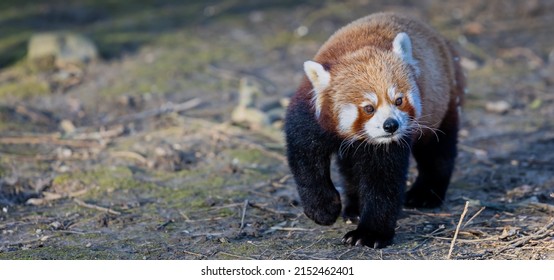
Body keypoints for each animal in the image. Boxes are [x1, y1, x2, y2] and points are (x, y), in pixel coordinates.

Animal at [282, 12, 464, 247]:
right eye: (369, 108)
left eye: (398, 100)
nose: (391, 125)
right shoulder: (309, 118)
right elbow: (306, 162)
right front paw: (323, 209)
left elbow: (382, 182)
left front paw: (370, 234)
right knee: (350, 168)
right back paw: (354, 207)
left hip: (444, 101)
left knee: (437, 151)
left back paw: (425, 194)